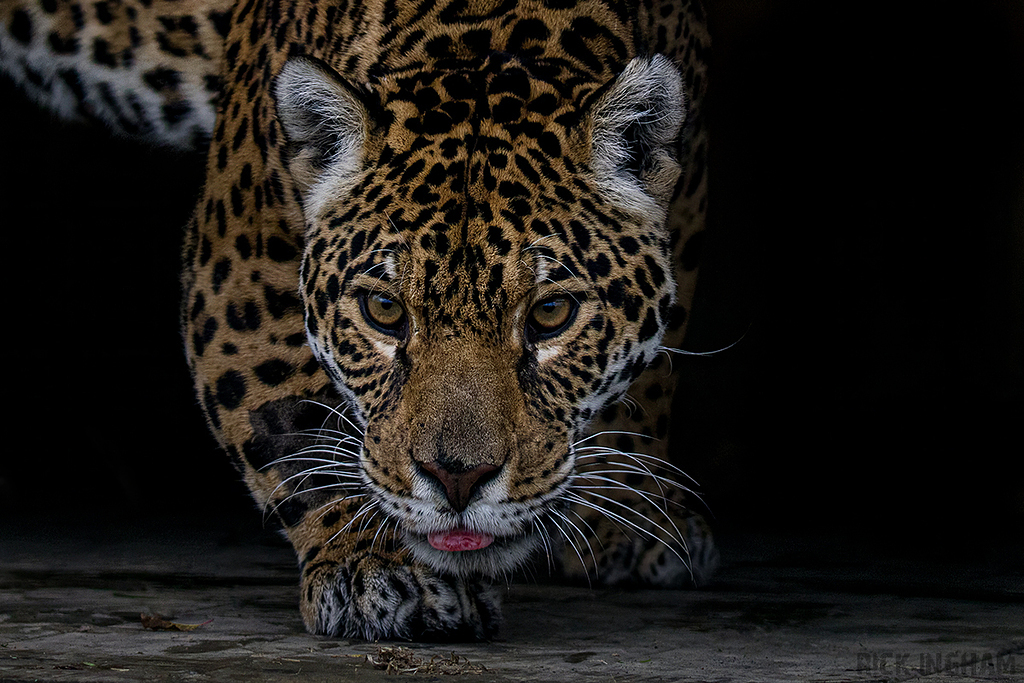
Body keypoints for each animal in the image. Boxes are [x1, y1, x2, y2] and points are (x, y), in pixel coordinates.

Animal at [1, 0, 717, 640]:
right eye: (384, 310)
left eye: (550, 314)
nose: (458, 480)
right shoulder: (238, 255)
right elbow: (295, 419)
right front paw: (377, 562)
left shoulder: (689, 177)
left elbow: (655, 365)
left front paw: (628, 511)